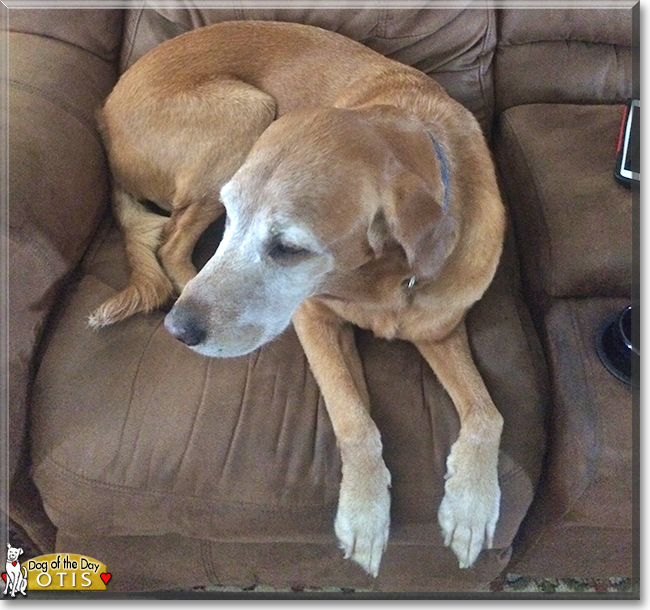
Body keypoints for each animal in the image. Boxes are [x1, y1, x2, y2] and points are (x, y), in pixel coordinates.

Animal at [88, 21, 504, 576]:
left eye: (289, 248)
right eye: (231, 215)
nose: (178, 331)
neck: (383, 278)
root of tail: (104, 115)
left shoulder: (442, 330)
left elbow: (487, 414)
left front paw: (471, 503)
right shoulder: (314, 318)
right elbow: (354, 417)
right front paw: (365, 511)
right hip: (249, 112)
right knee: (172, 238)